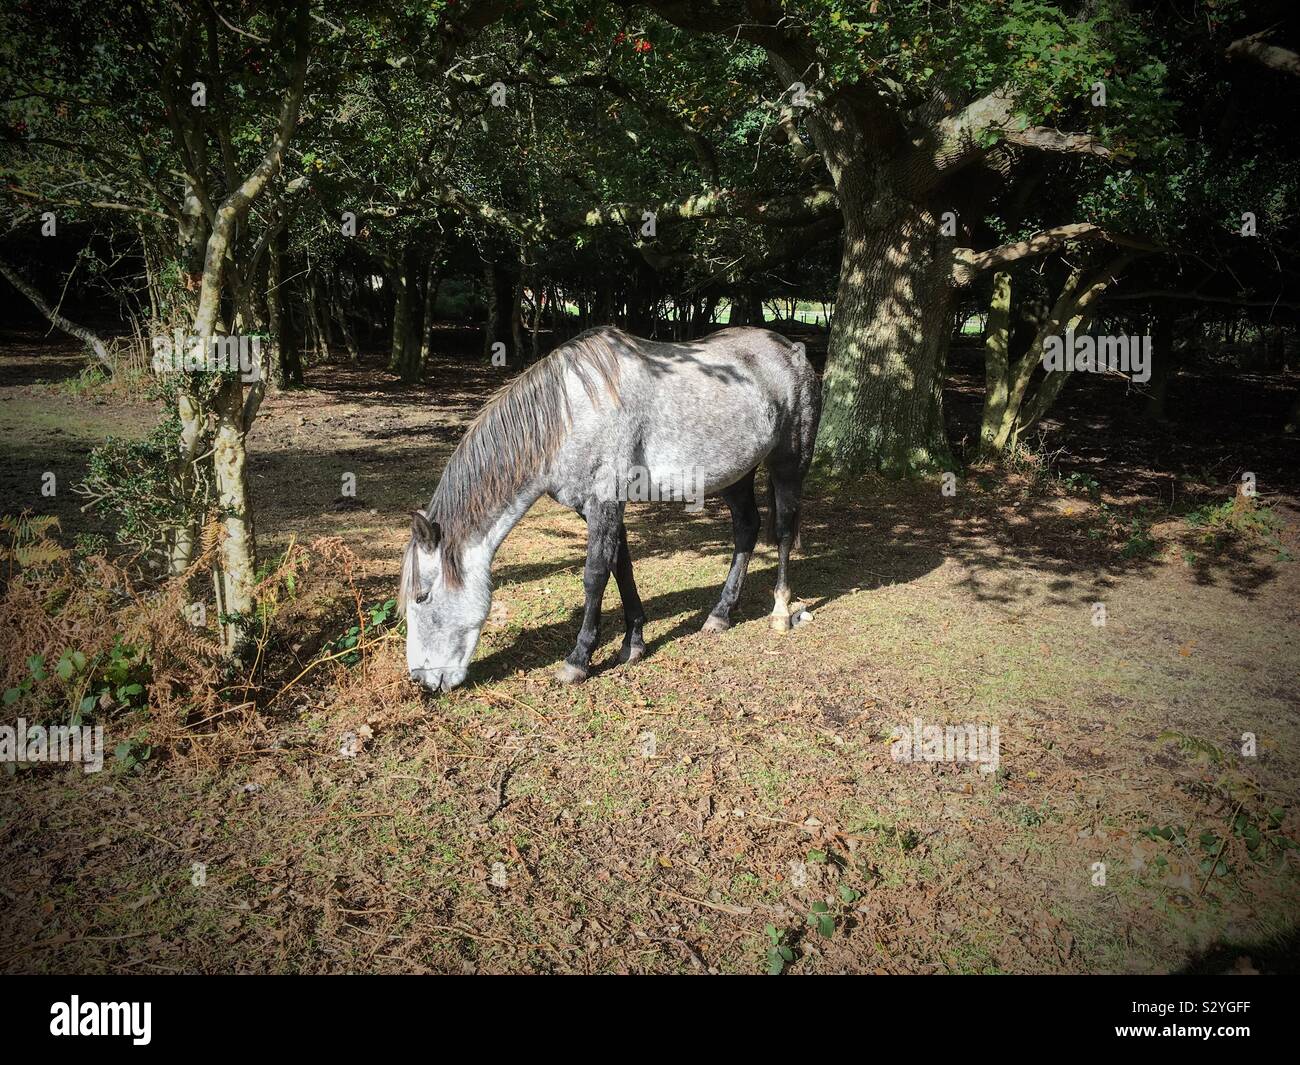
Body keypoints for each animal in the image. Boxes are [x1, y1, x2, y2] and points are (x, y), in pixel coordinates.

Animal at [399, 324, 821, 692]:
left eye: (422, 596)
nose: (421, 681)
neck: (570, 414)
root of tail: (793, 351)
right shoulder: (596, 507)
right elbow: (622, 566)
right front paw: (633, 643)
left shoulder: (605, 501)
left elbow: (595, 574)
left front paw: (578, 659)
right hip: (736, 473)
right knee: (746, 528)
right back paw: (720, 614)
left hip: (789, 463)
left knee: (783, 530)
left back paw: (780, 612)